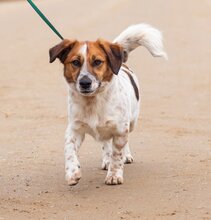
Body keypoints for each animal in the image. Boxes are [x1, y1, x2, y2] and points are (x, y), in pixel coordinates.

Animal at [49, 23, 166, 186]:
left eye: (97, 62)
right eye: (75, 62)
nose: (85, 82)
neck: (93, 102)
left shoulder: (120, 130)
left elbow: (117, 155)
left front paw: (114, 175)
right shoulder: (75, 129)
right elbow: (69, 151)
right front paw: (72, 173)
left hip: (131, 122)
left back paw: (125, 156)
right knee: (105, 143)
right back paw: (106, 159)